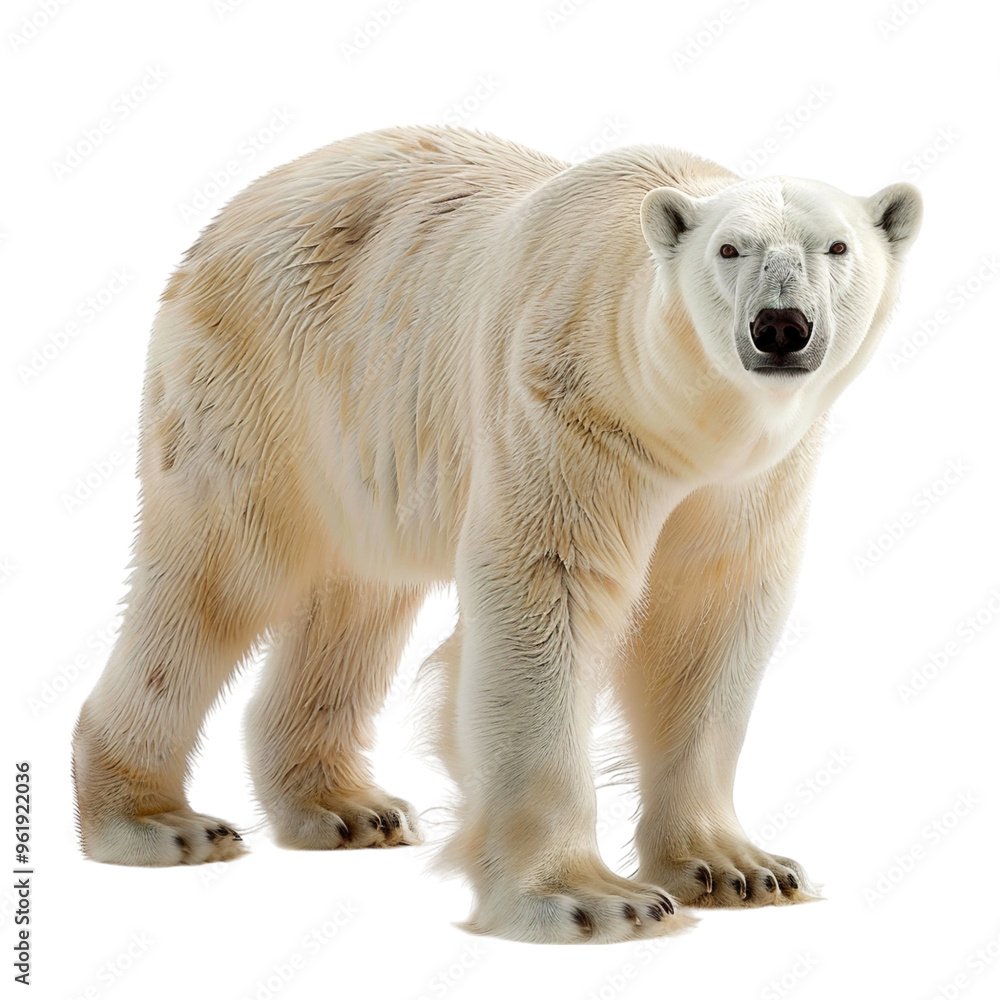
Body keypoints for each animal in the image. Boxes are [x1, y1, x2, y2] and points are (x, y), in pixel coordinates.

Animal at [72, 125, 922, 944]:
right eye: (729, 249)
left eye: (837, 247)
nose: (781, 327)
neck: (686, 423)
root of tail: (229, 216)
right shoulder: (566, 407)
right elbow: (546, 594)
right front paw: (591, 901)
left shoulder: (750, 484)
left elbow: (709, 620)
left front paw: (740, 869)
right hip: (262, 383)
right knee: (216, 575)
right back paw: (155, 822)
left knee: (357, 596)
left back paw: (349, 808)